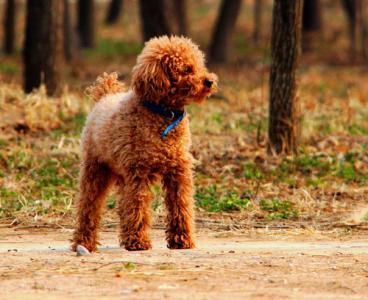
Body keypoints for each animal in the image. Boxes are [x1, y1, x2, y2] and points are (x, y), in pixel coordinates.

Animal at [70, 34, 217, 251]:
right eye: (186, 69)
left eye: (200, 65)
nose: (210, 81)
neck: (164, 113)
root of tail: (104, 95)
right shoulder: (138, 173)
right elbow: (138, 205)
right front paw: (139, 241)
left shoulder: (178, 172)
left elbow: (181, 205)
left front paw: (182, 240)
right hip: (95, 169)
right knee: (89, 205)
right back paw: (84, 242)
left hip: (120, 174)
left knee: (122, 206)